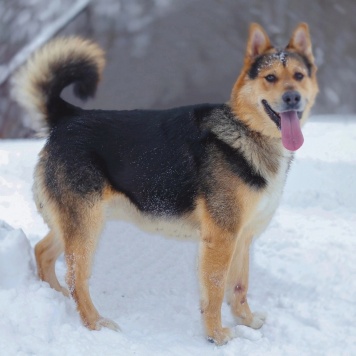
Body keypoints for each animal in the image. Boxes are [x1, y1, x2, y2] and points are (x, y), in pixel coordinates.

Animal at [13, 22, 318, 344]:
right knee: (75, 277)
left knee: (43, 253)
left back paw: (56, 297)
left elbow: (239, 287)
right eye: (270, 77)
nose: (292, 97)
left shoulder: (243, 237)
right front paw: (217, 336)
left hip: (77, 222)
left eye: (299, 76)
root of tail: (68, 117)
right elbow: (215, 290)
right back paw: (96, 324)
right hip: (86, 225)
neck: (247, 132)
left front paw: (246, 321)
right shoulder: (221, 239)